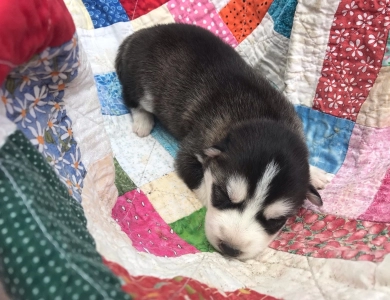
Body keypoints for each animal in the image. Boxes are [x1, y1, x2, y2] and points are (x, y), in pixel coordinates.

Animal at [116, 23, 330, 260]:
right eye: (222, 194)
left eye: (276, 220)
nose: (230, 248)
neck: (263, 116)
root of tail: (140, 34)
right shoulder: (193, 148)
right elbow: (202, 184)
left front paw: (315, 174)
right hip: (144, 86)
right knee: (131, 97)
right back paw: (143, 121)